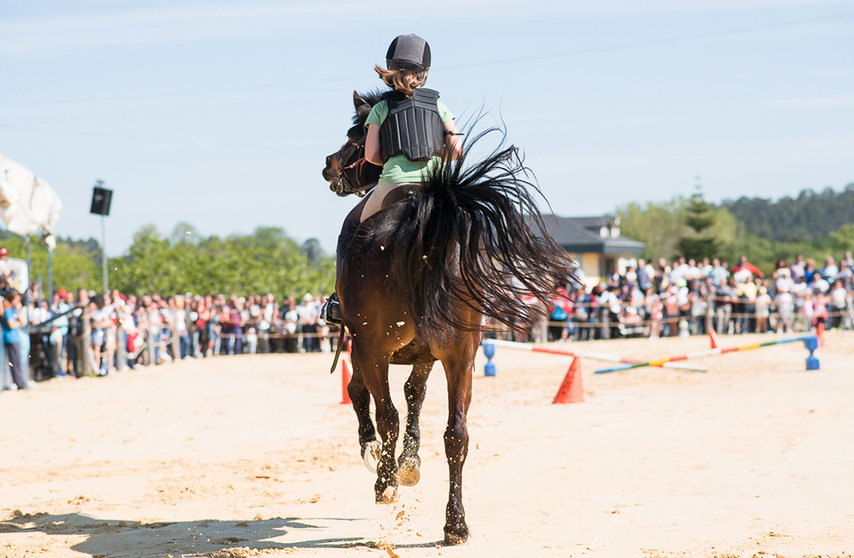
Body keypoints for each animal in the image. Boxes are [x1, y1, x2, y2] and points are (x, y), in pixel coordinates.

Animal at [324, 92, 580, 548]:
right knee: (456, 434)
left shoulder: (369, 348)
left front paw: (383, 459)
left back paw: (386, 483)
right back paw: (454, 524)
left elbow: (368, 397)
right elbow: (415, 396)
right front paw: (410, 463)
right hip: (460, 355)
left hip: (375, 349)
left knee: (385, 413)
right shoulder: (431, 354)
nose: (329, 165)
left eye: (354, 136)